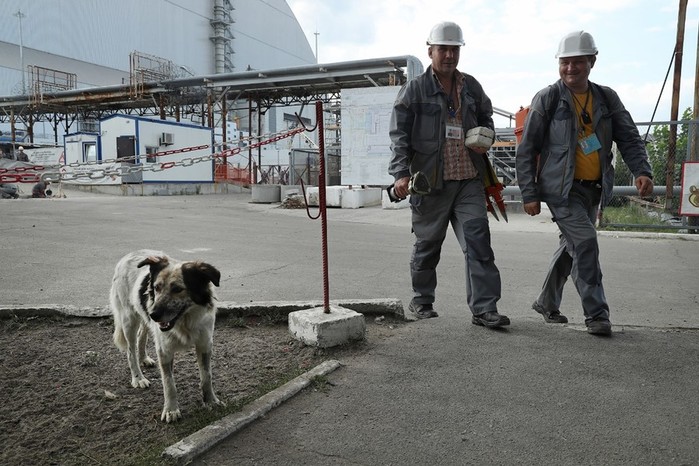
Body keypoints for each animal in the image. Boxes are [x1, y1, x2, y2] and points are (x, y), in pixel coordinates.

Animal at [109, 251, 221, 422]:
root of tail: (128, 255)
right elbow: (169, 384)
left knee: (142, 335)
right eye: (156, 288)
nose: (153, 314)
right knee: (130, 351)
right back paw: (138, 378)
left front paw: (210, 401)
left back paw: (144, 359)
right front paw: (171, 410)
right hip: (129, 320)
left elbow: (206, 377)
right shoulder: (165, 350)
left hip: (144, 318)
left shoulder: (205, 344)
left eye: (177, 289)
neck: (185, 322)